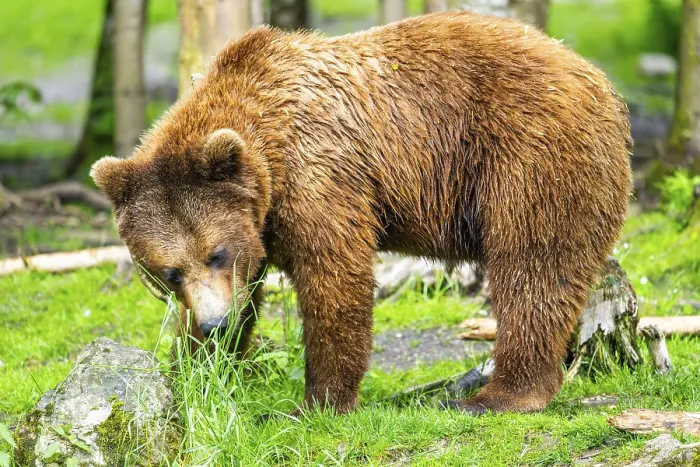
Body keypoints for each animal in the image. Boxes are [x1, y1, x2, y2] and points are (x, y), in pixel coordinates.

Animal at [91, 11, 632, 415]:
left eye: (216, 253)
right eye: (169, 272)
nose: (215, 324)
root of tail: (597, 77)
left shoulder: (319, 174)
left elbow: (334, 278)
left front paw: (316, 402)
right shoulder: (262, 220)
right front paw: (195, 370)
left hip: (530, 152)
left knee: (533, 266)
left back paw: (499, 394)